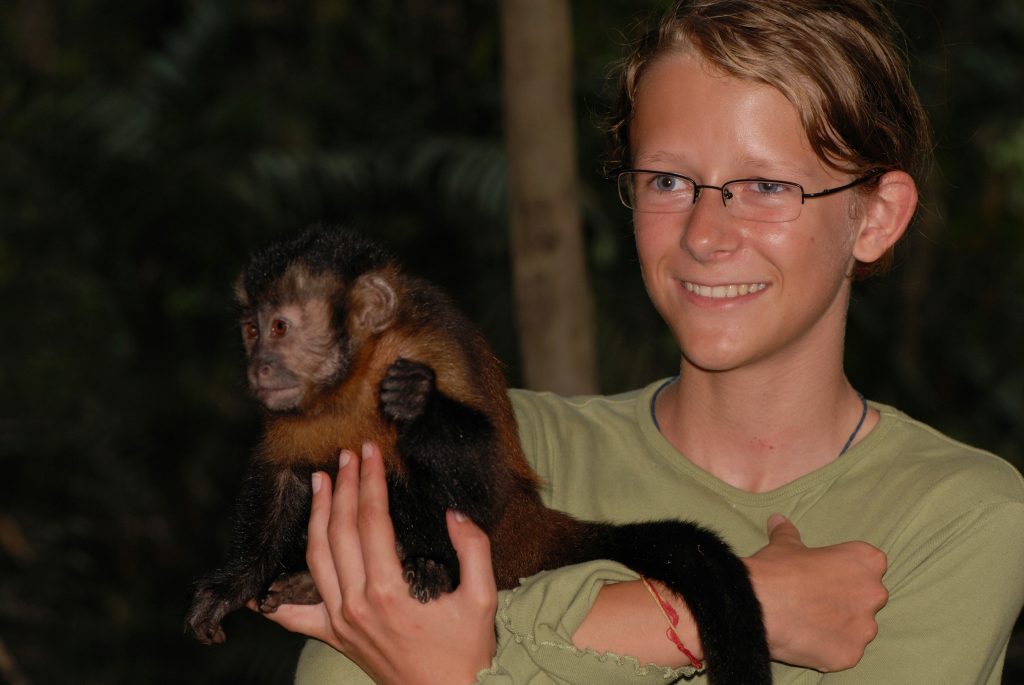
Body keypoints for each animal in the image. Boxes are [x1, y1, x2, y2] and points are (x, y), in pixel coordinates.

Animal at [185, 225, 771, 684]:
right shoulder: (292, 410)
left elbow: (483, 484)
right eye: (251, 331)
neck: (354, 378)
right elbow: (284, 475)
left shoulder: (426, 349)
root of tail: (532, 529)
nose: (259, 365)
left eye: (280, 327)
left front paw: (420, 406)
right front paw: (236, 583)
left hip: (503, 538)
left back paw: (433, 566)